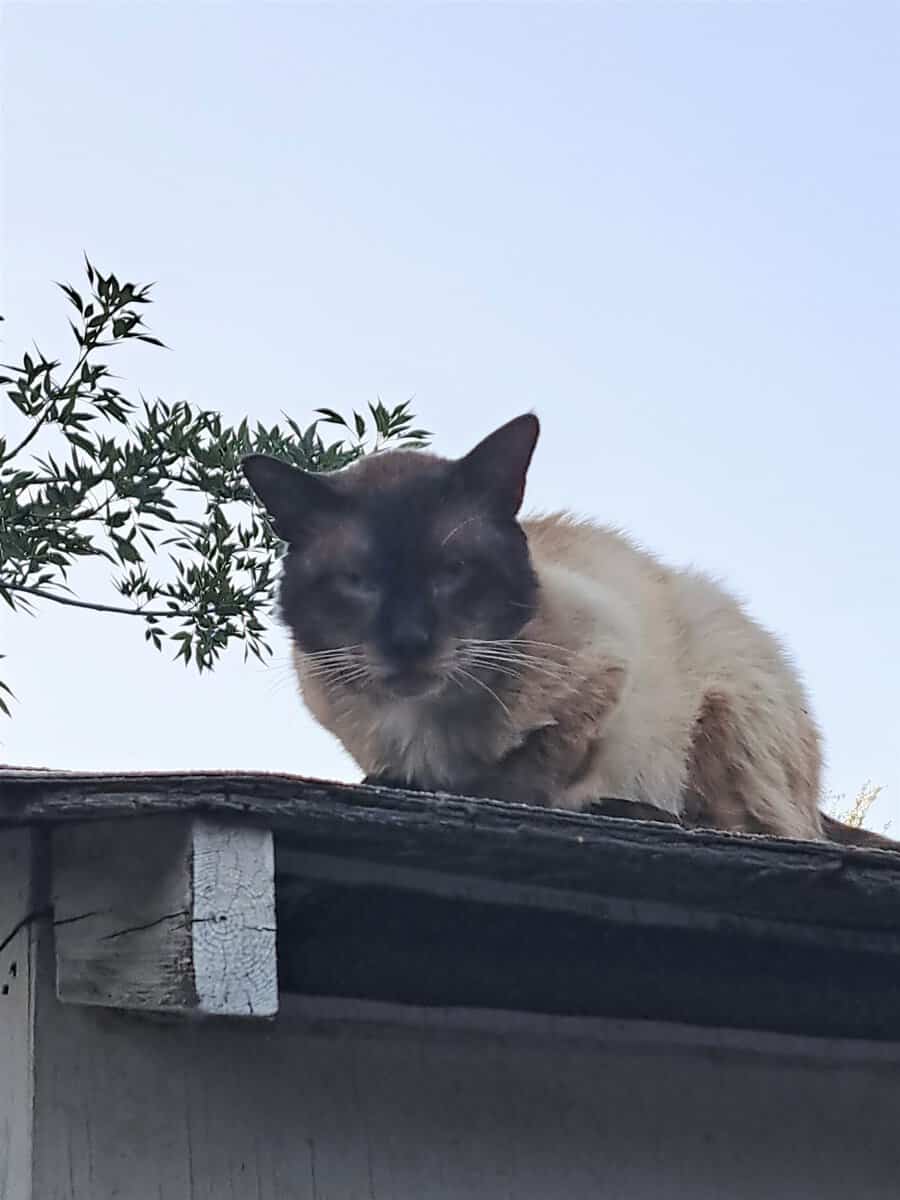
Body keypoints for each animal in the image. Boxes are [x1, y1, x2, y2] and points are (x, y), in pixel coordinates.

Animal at [244, 417, 897, 849]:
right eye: (357, 582)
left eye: (452, 572)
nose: (409, 642)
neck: (425, 721)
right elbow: (394, 775)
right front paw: (399, 779)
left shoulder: (606, 669)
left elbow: (522, 775)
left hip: (726, 698)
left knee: (758, 828)